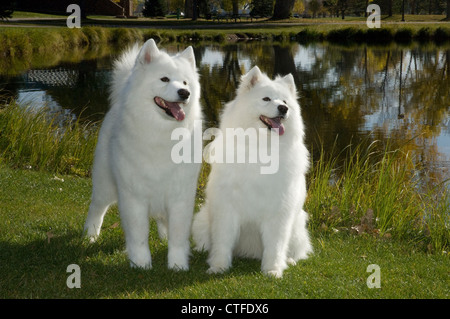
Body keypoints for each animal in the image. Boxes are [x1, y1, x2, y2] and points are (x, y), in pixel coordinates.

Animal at [84, 38, 202, 272]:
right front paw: (140, 263)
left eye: (185, 83)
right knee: (97, 208)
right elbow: (138, 236)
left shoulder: (180, 197)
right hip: (105, 185)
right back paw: (91, 235)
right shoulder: (133, 197)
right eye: (164, 79)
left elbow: (178, 236)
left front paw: (177, 264)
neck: (161, 135)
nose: (184, 93)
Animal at [192, 66, 312, 278]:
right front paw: (218, 266)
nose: (284, 109)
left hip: (297, 226)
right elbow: (222, 242)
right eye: (266, 99)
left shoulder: (278, 213)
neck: (261, 148)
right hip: (203, 219)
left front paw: (273, 269)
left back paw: (289, 260)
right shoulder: (226, 209)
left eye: (285, 101)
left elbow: (275, 246)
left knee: (296, 251)